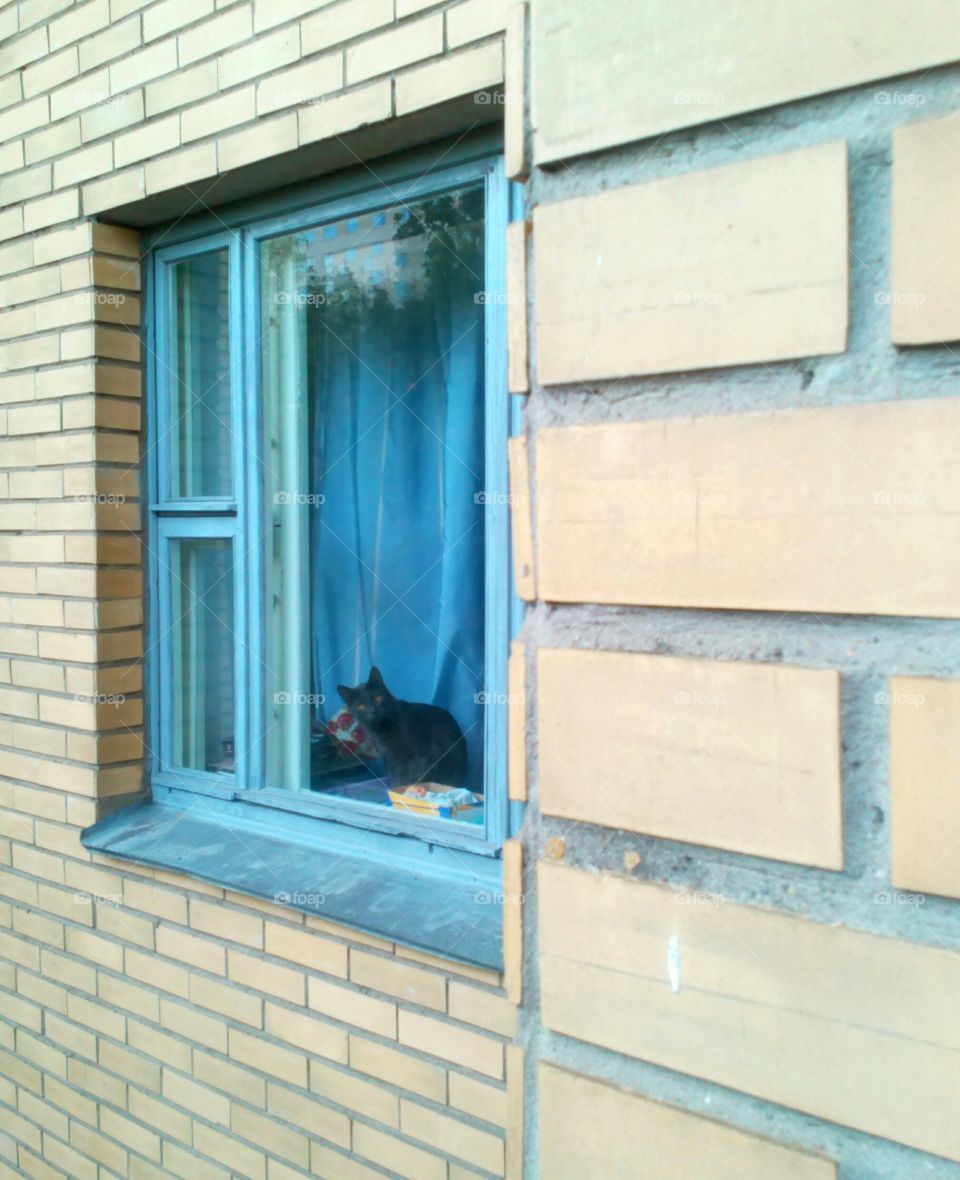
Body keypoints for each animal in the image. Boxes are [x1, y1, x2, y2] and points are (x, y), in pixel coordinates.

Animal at [337, 670, 469, 788]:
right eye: (361, 706)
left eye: (377, 699)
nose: (372, 711)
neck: (383, 729)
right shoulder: (393, 760)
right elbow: (399, 779)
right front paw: (399, 789)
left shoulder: (419, 756)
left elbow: (415, 778)